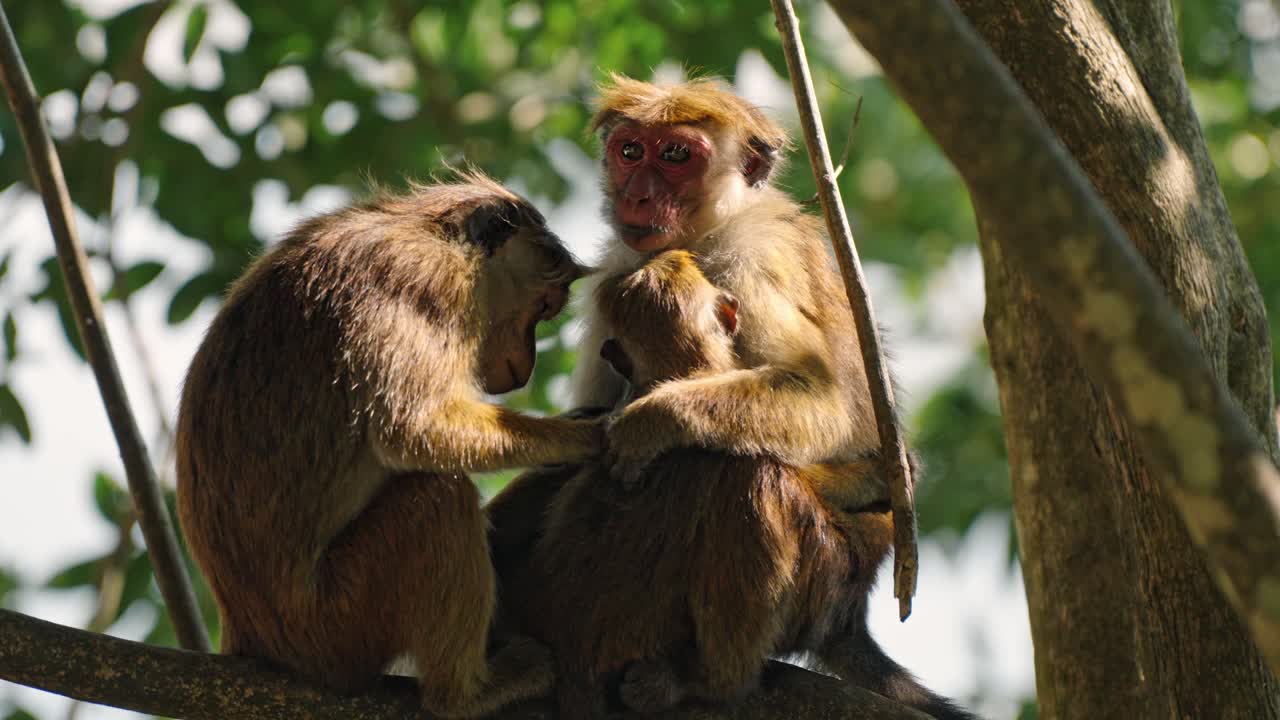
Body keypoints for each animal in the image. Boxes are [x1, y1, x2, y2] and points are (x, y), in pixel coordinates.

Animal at [174, 173, 605, 718]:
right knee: (437, 499)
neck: (426, 230)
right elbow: (412, 429)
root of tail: (250, 632)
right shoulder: (427, 284)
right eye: (543, 308)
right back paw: (464, 694)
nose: (523, 367)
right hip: (338, 621)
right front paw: (584, 438)